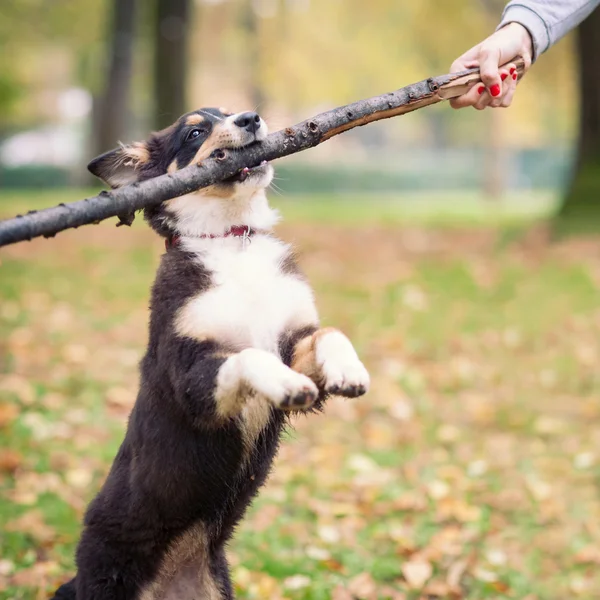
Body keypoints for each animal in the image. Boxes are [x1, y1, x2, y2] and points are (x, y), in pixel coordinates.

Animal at [52, 109, 370, 600]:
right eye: (196, 131)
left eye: (227, 111)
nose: (251, 118)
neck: (231, 239)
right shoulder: (192, 380)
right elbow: (249, 358)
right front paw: (285, 384)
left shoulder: (294, 339)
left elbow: (330, 334)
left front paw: (349, 371)